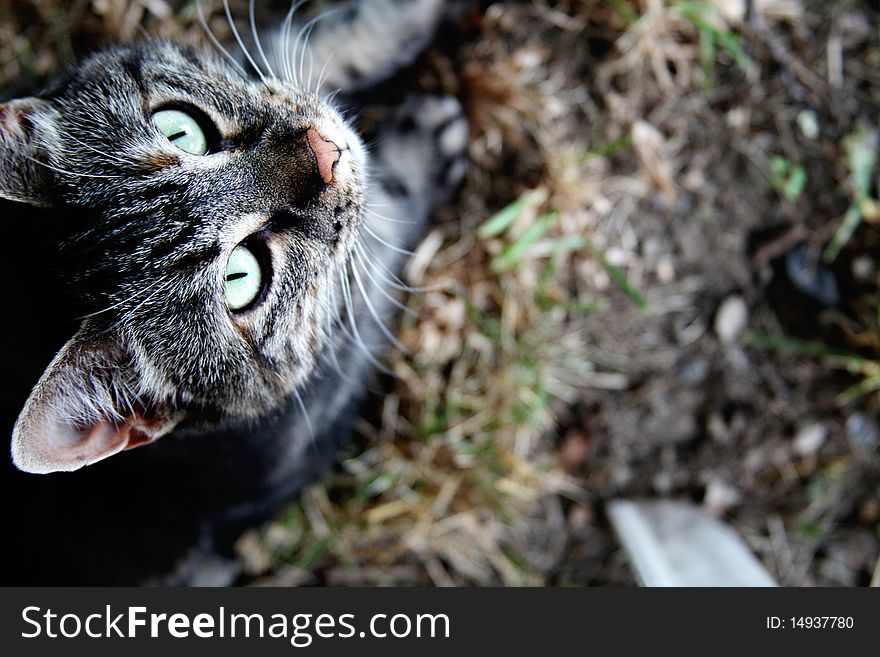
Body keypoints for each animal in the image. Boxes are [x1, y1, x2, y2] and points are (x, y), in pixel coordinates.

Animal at [0, 0, 470, 584]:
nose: (325, 151)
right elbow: (387, 216)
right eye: (241, 279)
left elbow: (312, 39)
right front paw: (422, 145)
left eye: (181, 130)